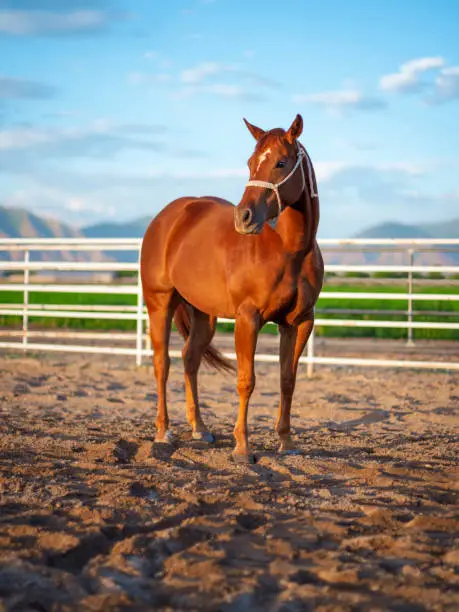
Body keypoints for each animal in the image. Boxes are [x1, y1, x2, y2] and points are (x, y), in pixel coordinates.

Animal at [140, 113, 324, 464]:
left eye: (281, 163)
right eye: (251, 163)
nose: (244, 217)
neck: (288, 250)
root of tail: (168, 217)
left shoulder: (299, 322)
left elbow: (288, 380)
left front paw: (286, 441)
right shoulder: (248, 318)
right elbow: (245, 380)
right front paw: (242, 447)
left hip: (203, 314)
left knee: (190, 359)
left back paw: (200, 429)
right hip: (160, 303)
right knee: (162, 364)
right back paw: (163, 432)